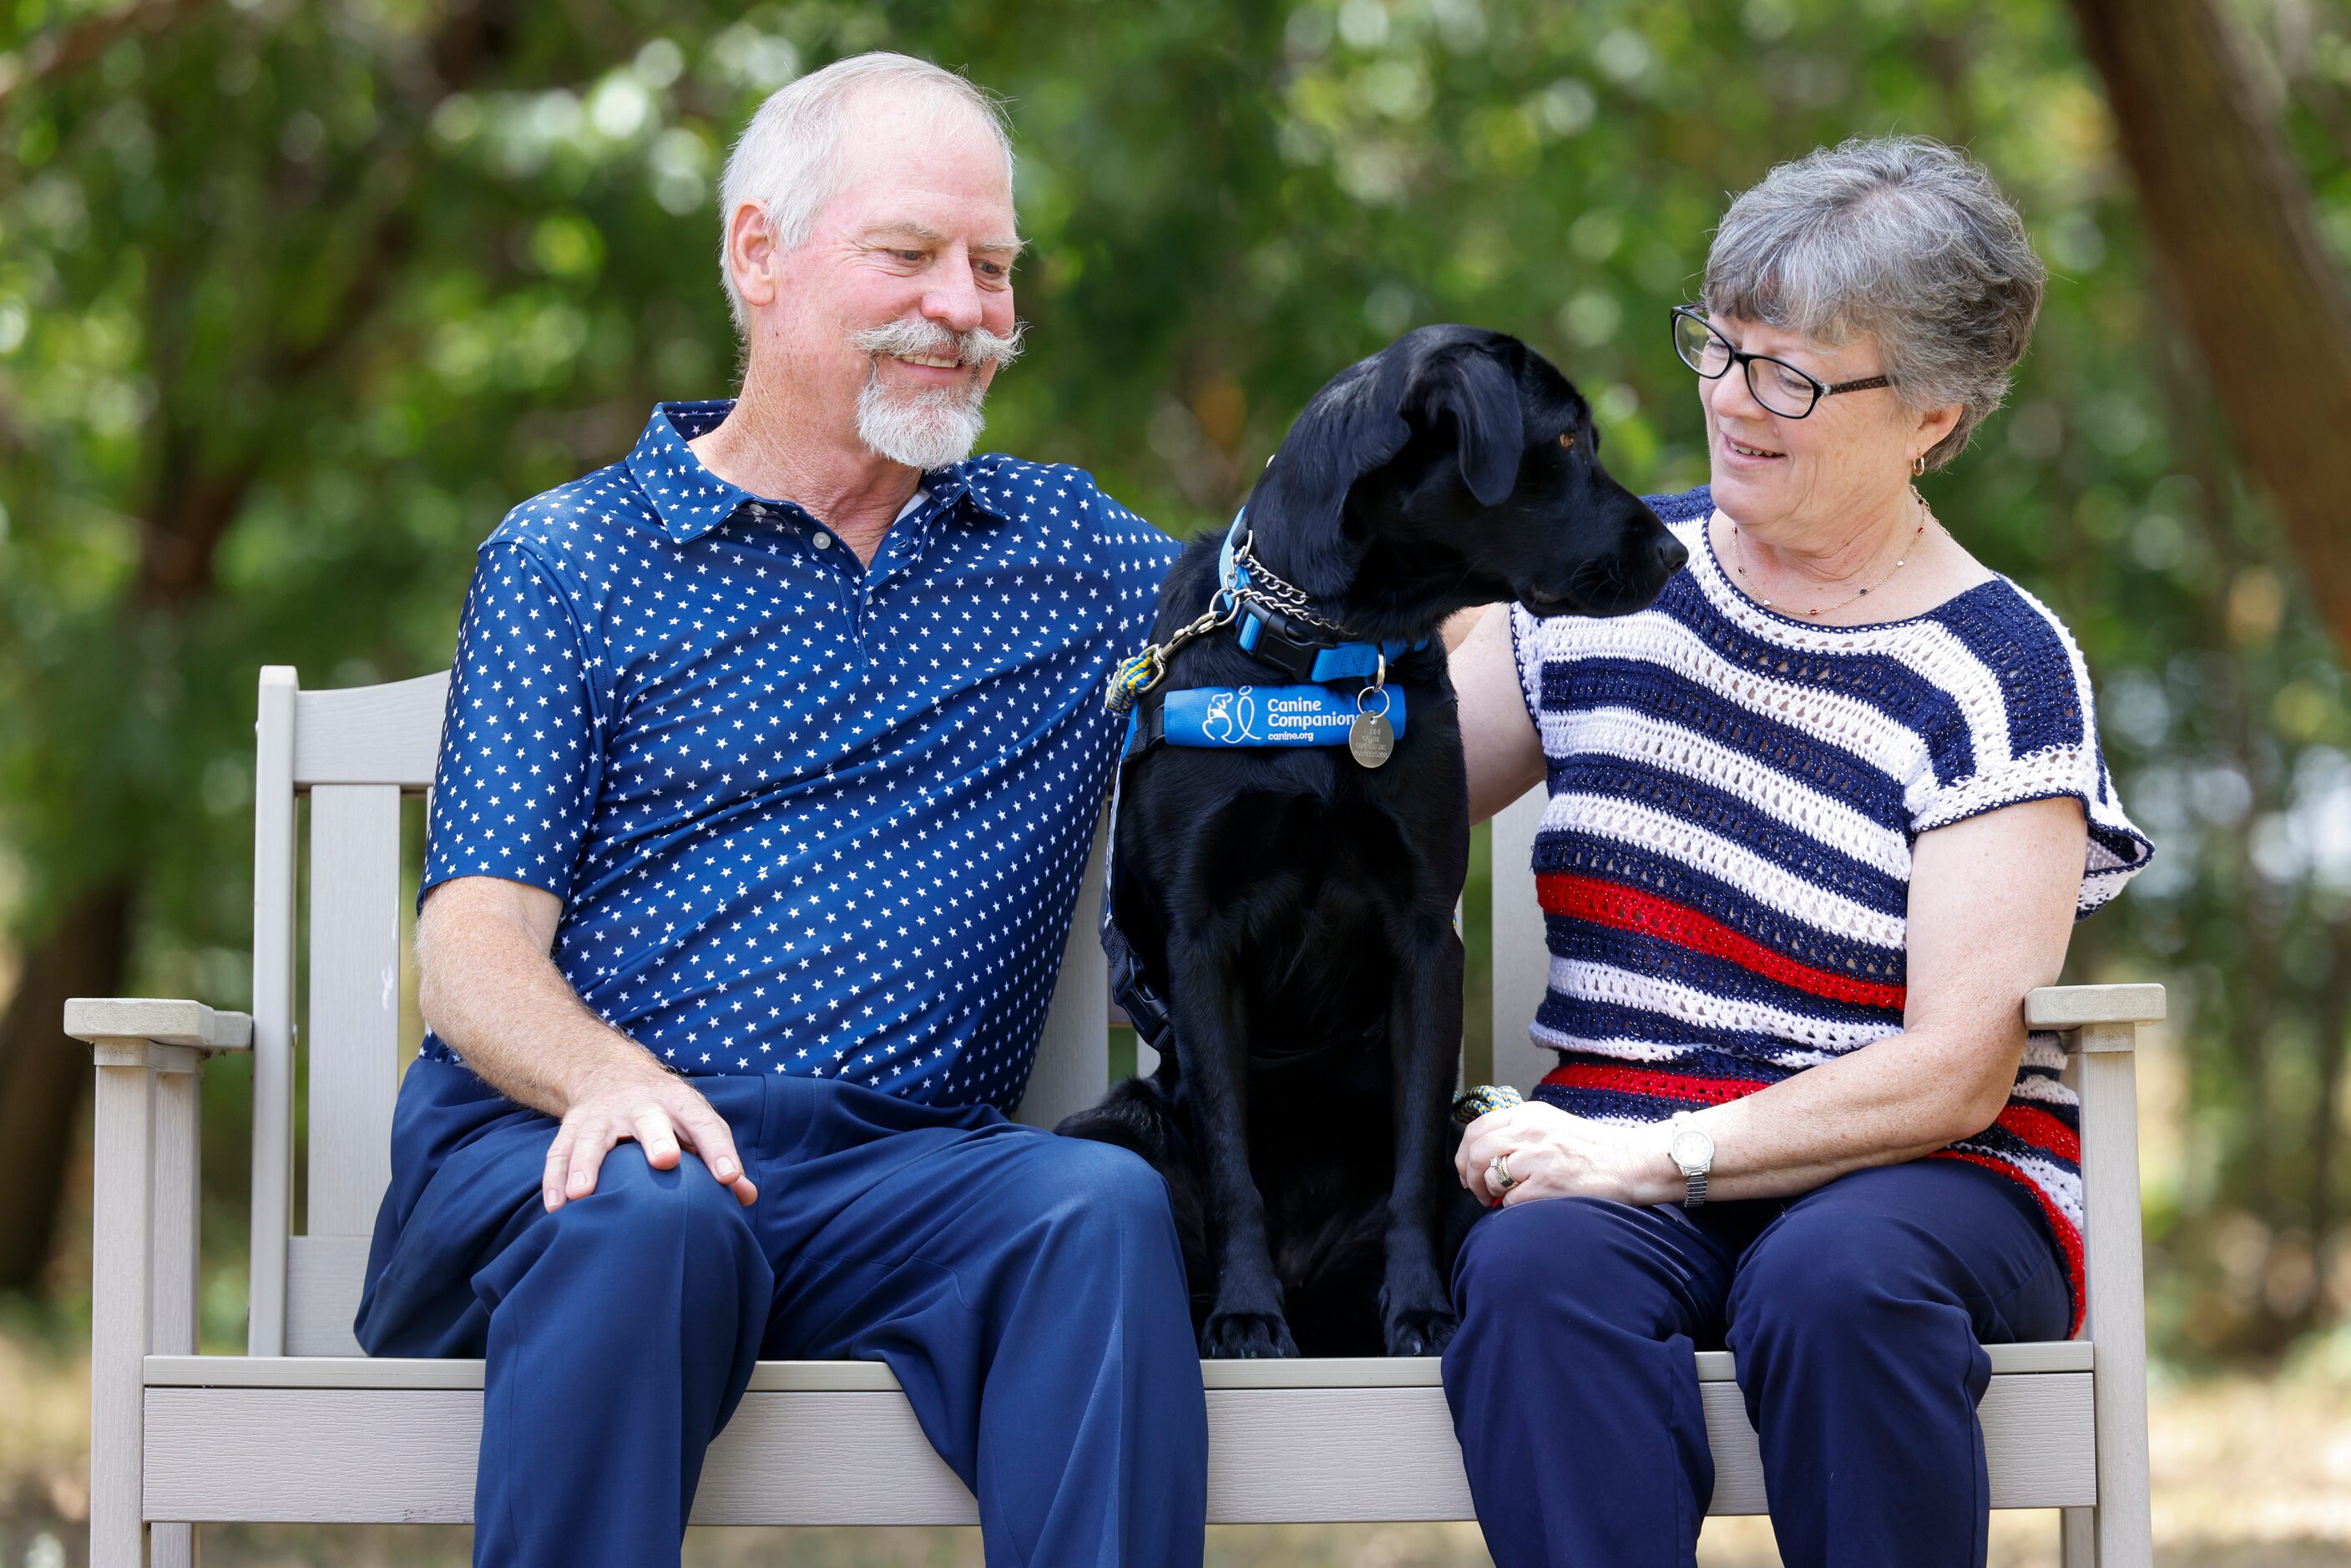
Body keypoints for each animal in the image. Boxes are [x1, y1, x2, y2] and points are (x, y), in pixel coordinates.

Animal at [1058, 324, 1683, 1353]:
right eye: (1562, 443)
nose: (1673, 553)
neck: (1330, 655)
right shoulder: (1199, 939)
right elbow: (1230, 1160)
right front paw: (1245, 1313)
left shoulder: (1425, 933)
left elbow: (1412, 1165)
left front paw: (1420, 1308)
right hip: (1105, 1130)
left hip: (1476, 1151)